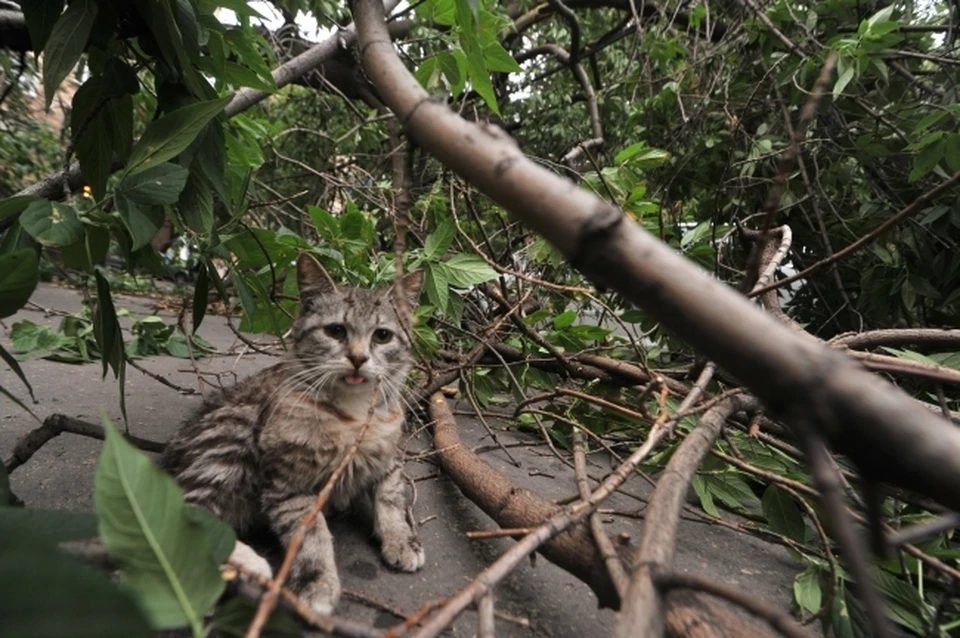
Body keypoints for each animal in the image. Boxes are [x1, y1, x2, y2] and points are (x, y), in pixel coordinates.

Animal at [160, 254, 424, 616]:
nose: (358, 358)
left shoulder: (390, 455)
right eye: (335, 331)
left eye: (382, 336)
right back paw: (247, 565)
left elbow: (391, 498)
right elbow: (312, 536)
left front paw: (400, 539)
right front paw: (318, 582)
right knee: (187, 514)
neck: (353, 414)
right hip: (234, 435)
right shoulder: (289, 485)